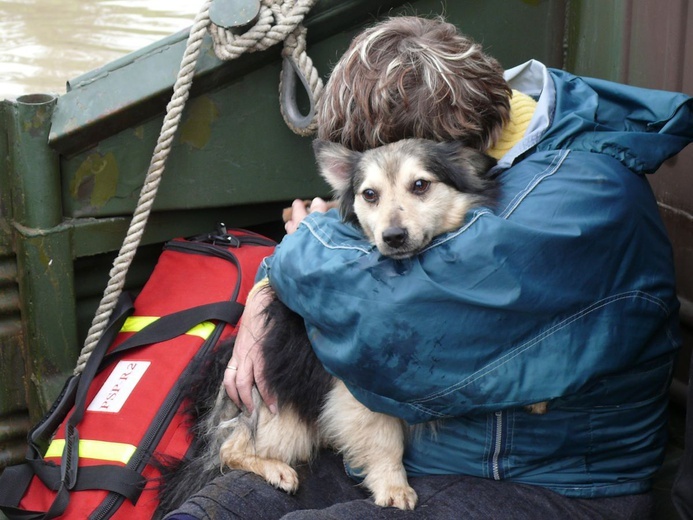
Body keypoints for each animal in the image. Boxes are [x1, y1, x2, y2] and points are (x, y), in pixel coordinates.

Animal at [155, 139, 502, 516]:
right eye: (369, 194)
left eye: (421, 185)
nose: (393, 236)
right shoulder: (352, 387)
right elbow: (384, 439)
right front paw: (393, 486)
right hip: (284, 416)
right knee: (228, 450)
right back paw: (274, 469)